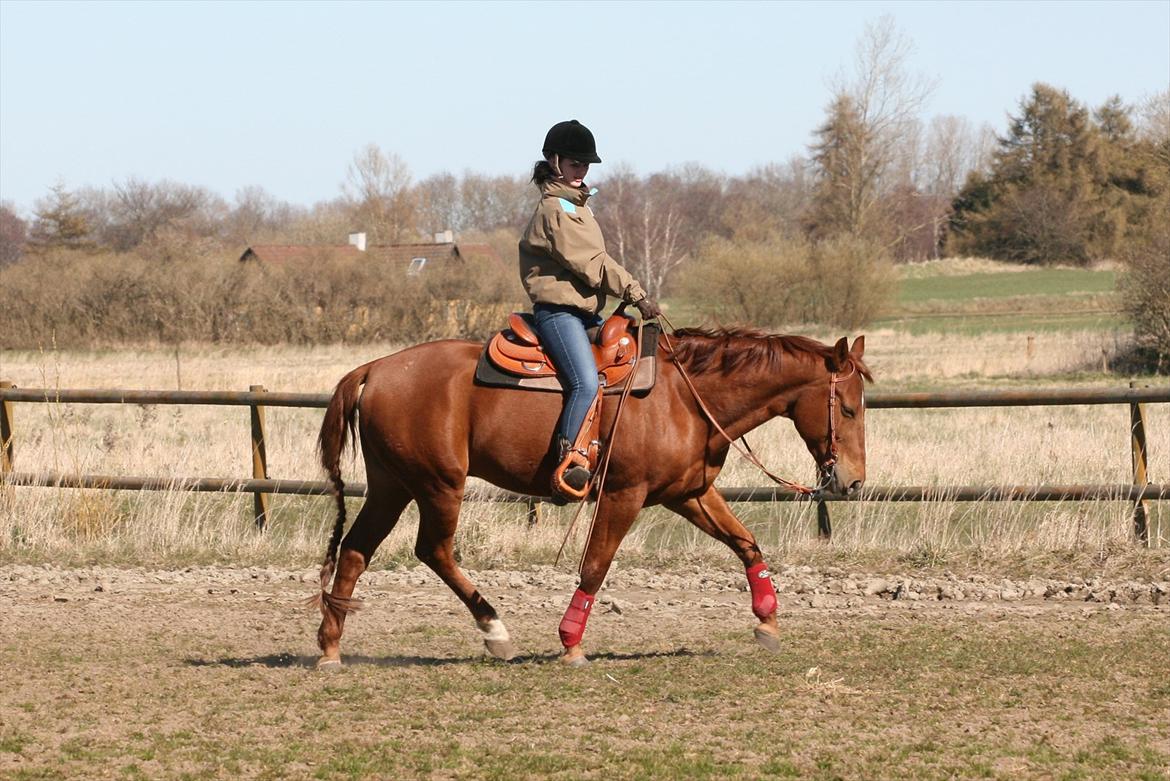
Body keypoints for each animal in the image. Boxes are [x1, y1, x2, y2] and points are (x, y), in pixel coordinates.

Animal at [311, 322, 870, 664]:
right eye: (847, 408)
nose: (853, 481)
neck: (685, 397)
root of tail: (374, 369)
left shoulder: (689, 493)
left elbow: (747, 543)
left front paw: (768, 621)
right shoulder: (624, 495)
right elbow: (595, 567)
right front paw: (570, 643)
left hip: (392, 487)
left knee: (356, 550)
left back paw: (331, 646)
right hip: (439, 485)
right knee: (434, 550)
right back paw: (495, 631)